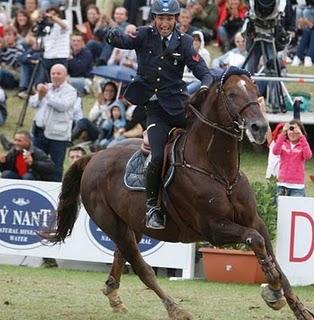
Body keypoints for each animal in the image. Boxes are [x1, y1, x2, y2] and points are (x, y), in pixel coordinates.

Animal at [45, 70, 312, 320]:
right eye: (232, 93)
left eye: (256, 90)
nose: (260, 127)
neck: (221, 172)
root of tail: (93, 157)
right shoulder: (214, 229)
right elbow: (255, 241)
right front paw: (272, 291)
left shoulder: (254, 221)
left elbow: (274, 260)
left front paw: (296, 307)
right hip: (112, 224)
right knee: (142, 268)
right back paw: (175, 308)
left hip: (132, 225)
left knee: (121, 254)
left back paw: (113, 295)